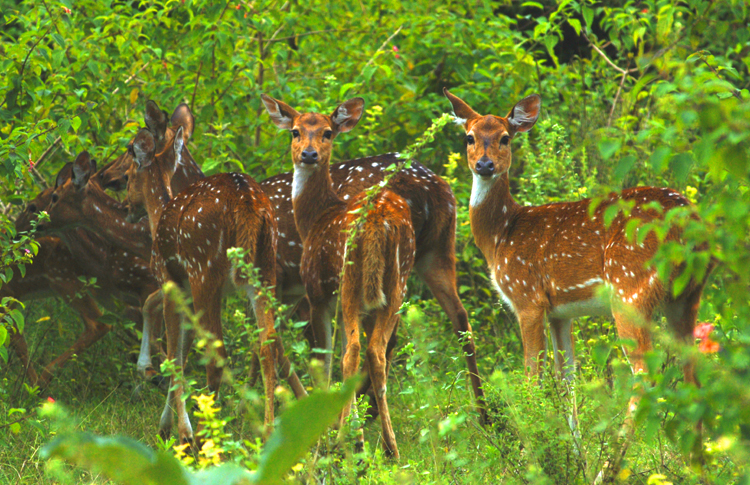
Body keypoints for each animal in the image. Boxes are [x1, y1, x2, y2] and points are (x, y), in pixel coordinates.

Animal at [124, 121, 306, 445]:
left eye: (128, 175)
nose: (125, 207)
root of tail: (248, 204)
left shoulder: (171, 280)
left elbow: (174, 356)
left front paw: (178, 431)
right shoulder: (189, 290)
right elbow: (180, 351)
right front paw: (165, 425)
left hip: (204, 268)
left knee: (217, 354)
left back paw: (207, 430)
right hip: (264, 269)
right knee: (267, 344)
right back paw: (268, 430)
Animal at [262, 93, 417, 458]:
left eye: (328, 132)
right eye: (295, 131)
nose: (308, 154)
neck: (314, 218)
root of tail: (379, 221)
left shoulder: (317, 295)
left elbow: (325, 361)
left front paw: (331, 427)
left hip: (348, 281)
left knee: (354, 352)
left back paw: (351, 438)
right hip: (399, 282)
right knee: (376, 352)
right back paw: (390, 447)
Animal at [443, 88, 714, 433]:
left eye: (505, 137)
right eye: (469, 137)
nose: (485, 164)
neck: (501, 235)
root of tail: (688, 223)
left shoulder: (527, 298)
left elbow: (533, 378)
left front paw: (534, 440)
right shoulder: (559, 312)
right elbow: (567, 381)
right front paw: (573, 443)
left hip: (630, 287)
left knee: (645, 375)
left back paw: (616, 448)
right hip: (686, 294)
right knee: (692, 369)